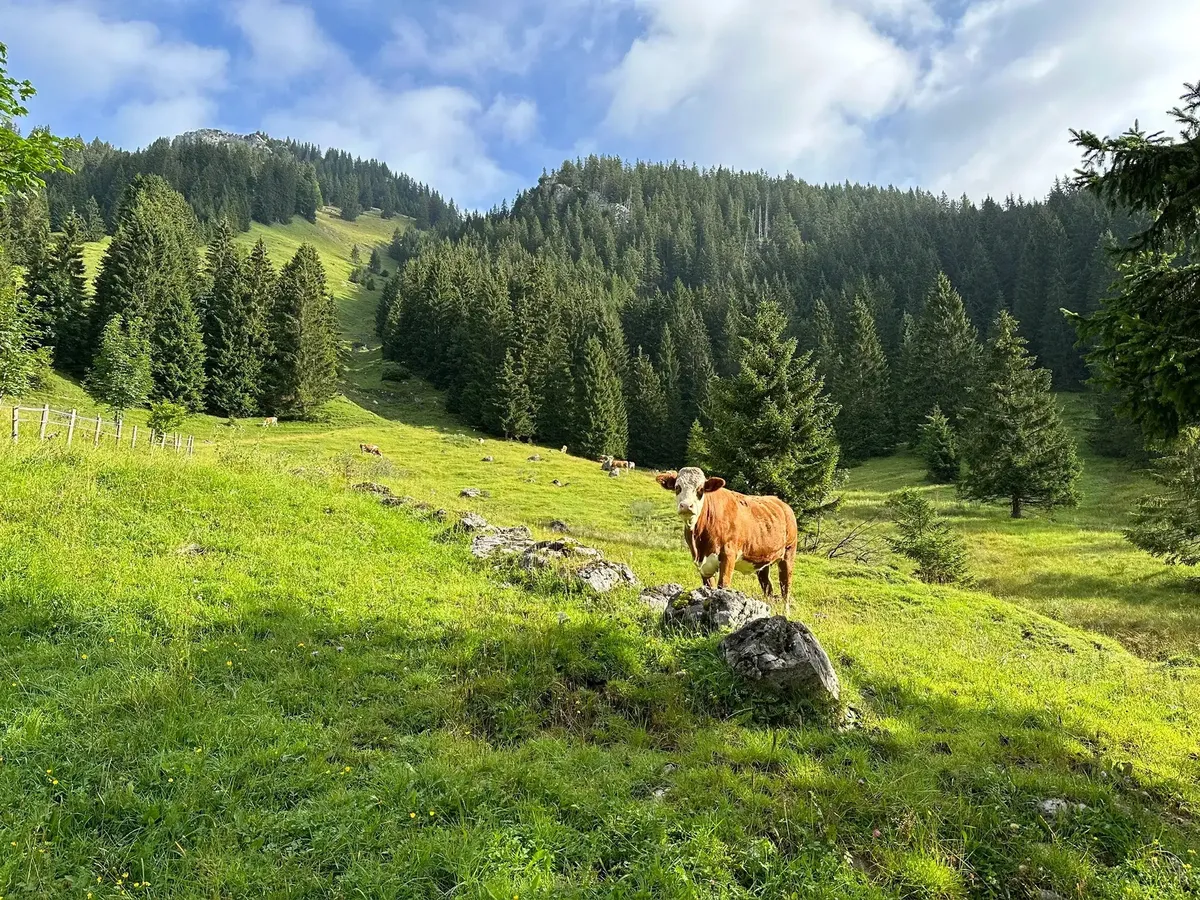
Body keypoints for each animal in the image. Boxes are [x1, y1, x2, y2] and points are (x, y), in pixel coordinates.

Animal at [657, 467, 798, 614]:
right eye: (677, 487)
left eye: (700, 489)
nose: (686, 506)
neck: (699, 543)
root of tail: (782, 503)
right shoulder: (703, 565)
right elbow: (709, 588)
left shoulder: (728, 555)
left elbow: (723, 586)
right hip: (763, 560)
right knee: (768, 587)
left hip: (789, 553)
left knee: (785, 586)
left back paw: (786, 612)